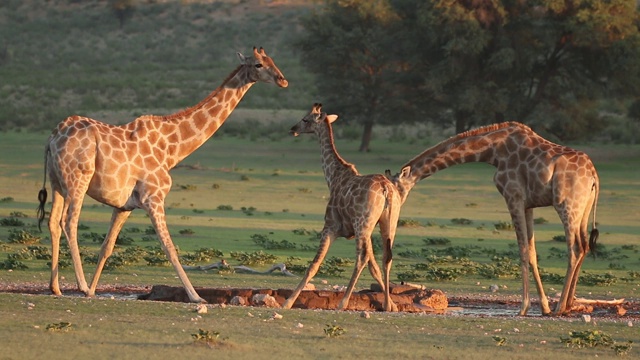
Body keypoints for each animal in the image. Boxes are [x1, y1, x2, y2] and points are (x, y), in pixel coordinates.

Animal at [37, 46, 288, 302]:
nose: (282, 80)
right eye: (258, 64)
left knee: (53, 222)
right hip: (78, 179)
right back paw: (79, 285)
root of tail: (52, 138)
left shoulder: (124, 205)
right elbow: (169, 247)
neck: (171, 149)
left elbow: (107, 247)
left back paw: (56, 287)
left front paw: (93, 290)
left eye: (272, 60)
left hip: (57, 183)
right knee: (69, 222)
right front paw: (196, 296)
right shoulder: (154, 197)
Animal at [282, 102, 400, 310]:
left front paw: (288, 302)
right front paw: (392, 305)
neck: (333, 177)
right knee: (386, 257)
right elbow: (374, 267)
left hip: (363, 223)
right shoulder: (366, 230)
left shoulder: (330, 227)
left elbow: (314, 265)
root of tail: (387, 189)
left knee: (361, 258)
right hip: (387, 222)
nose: (293, 129)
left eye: (305, 119)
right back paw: (385, 305)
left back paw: (343, 302)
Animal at [384, 121, 600, 316]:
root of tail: (594, 175)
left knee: (574, 249)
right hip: (583, 208)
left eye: (397, 188)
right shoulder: (529, 204)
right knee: (584, 246)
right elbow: (531, 252)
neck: (493, 151)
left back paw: (560, 307)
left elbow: (522, 250)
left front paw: (523, 308)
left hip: (566, 204)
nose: (395, 204)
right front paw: (544, 307)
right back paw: (569, 305)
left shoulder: (513, 197)